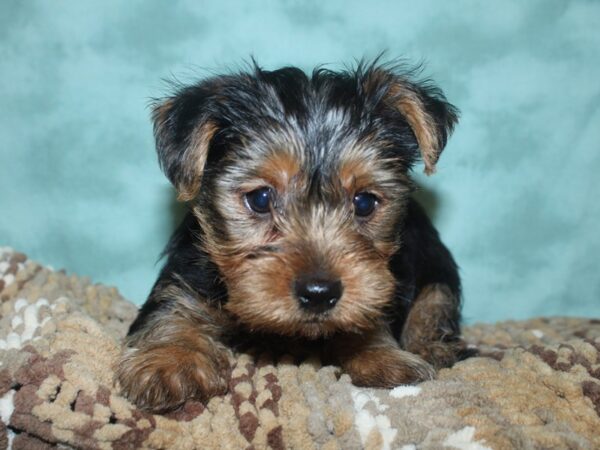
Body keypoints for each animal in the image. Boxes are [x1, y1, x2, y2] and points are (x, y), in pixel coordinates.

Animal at [118, 61, 474, 414]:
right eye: (260, 198)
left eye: (364, 202)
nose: (319, 293)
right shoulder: (190, 268)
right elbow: (171, 307)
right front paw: (170, 359)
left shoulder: (381, 281)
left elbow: (368, 312)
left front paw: (381, 354)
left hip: (436, 260)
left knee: (435, 300)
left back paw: (433, 346)